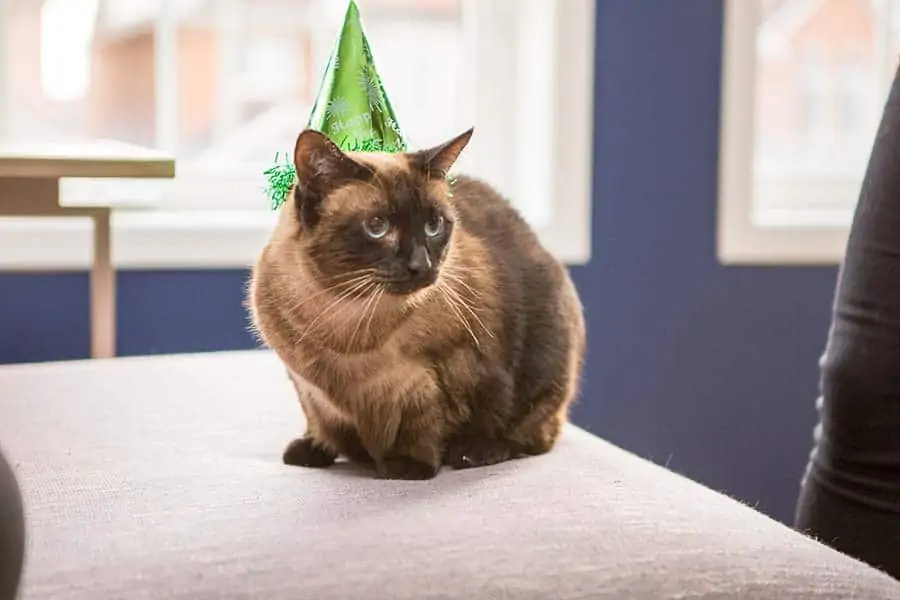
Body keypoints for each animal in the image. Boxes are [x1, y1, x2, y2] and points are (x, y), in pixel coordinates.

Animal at [248, 125, 584, 478]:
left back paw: (476, 452)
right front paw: (314, 449)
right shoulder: (308, 387)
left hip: (547, 357)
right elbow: (318, 421)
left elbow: (422, 426)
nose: (421, 265)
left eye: (433, 226)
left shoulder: (430, 377)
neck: (344, 316)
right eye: (377, 226)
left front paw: (407, 467)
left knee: (530, 434)